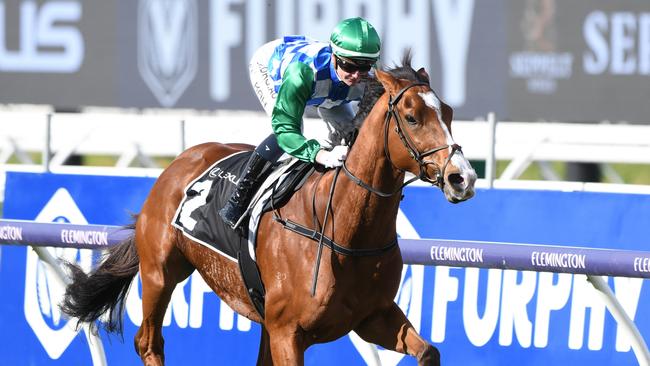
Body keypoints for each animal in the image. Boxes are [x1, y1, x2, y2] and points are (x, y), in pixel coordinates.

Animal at [60, 55, 476, 364]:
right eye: (411, 116)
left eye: (449, 112)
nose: (463, 177)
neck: (343, 230)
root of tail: (179, 161)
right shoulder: (288, 333)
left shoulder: (373, 316)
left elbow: (429, 352)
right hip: (160, 272)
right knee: (148, 342)